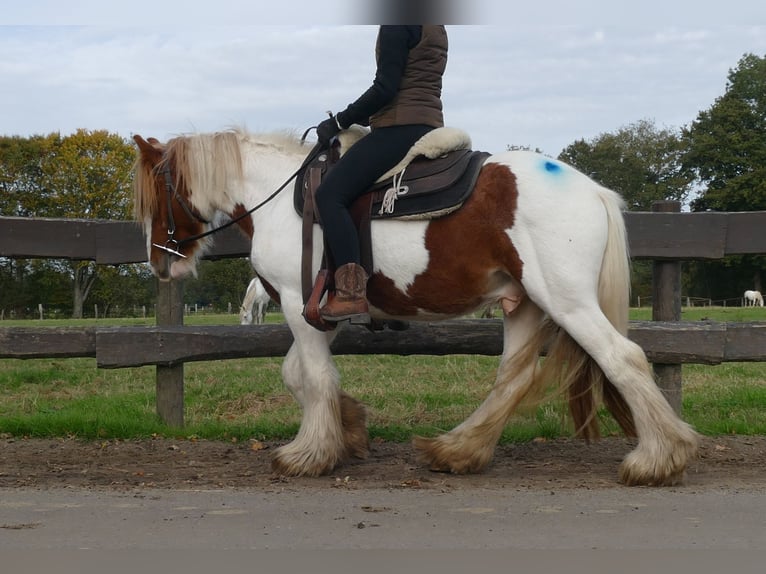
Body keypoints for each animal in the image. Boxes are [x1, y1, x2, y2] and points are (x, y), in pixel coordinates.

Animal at [134, 128, 704, 488]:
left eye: (156, 194)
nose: (159, 264)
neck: (281, 199)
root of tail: (593, 191)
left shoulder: (299, 303)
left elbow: (313, 377)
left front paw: (308, 455)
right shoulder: (322, 311)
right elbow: (300, 374)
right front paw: (349, 428)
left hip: (566, 301)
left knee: (624, 359)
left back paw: (657, 459)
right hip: (523, 304)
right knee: (512, 378)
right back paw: (457, 451)